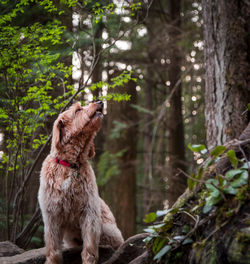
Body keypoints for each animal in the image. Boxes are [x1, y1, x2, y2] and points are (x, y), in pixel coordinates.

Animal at [38, 101, 124, 264]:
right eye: (78, 110)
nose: (100, 102)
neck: (71, 165)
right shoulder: (52, 214)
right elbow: (53, 247)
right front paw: (52, 260)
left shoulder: (89, 211)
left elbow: (89, 245)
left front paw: (89, 260)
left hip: (108, 230)